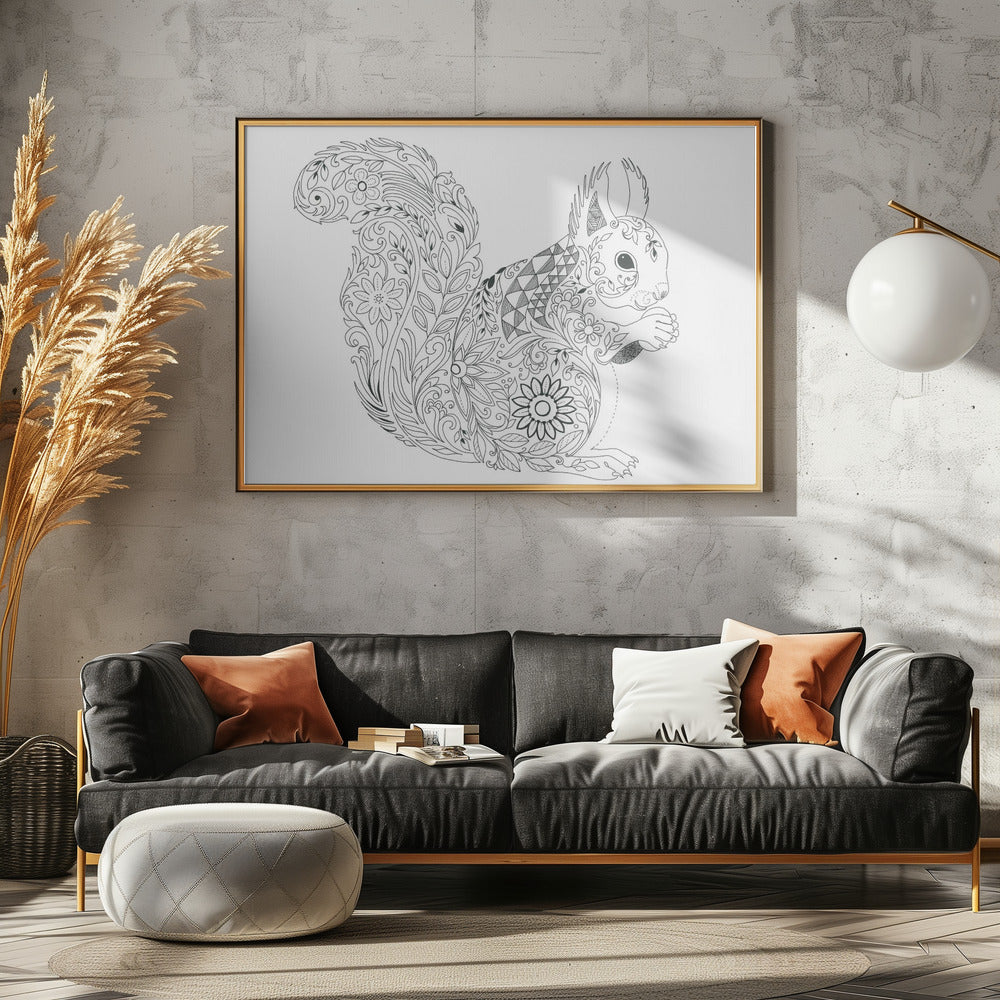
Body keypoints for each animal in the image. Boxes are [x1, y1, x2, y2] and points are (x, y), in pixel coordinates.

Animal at [293, 138, 679, 480]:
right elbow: (593, 336)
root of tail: (483, 445)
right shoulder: (563, 305)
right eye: (625, 261)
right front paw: (651, 327)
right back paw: (600, 462)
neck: (578, 269)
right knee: (550, 460)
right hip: (567, 394)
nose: (662, 292)